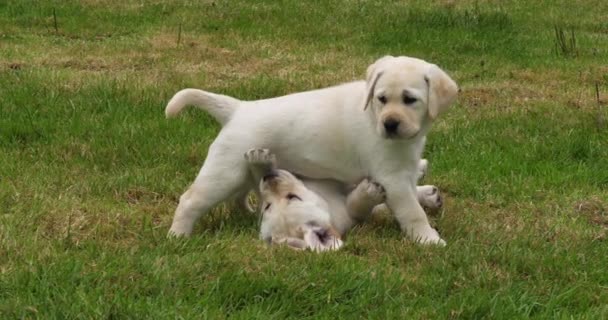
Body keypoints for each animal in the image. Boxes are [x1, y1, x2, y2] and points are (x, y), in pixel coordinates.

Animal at [166, 55, 456, 245]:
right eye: (382, 99)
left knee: (240, 195)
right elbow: (412, 212)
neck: (373, 114)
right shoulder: (392, 178)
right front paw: (428, 239)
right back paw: (177, 236)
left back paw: (247, 212)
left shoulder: (402, 169)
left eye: (410, 100)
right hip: (224, 172)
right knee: (190, 200)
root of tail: (239, 108)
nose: (390, 124)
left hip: (240, 170)